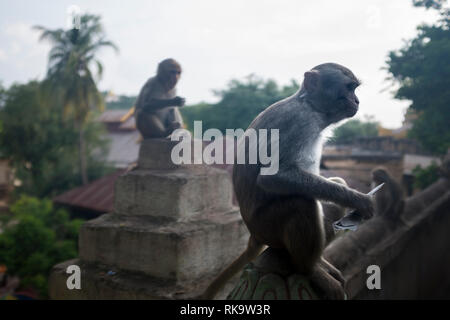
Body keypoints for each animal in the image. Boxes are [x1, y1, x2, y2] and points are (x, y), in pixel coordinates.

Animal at [202, 63, 374, 300]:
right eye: (349, 88)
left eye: (355, 89)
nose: (356, 101)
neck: (310, 106)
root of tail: (254, 235)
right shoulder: (300, 122)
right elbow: (273, 177)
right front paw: (360, 201)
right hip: (268, 228)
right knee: (301, 203)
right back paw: (310, 270)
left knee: (330, 191)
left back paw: (319, 262)